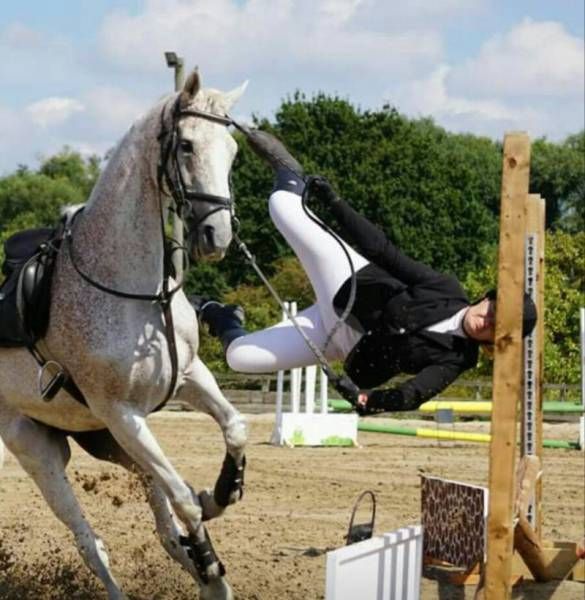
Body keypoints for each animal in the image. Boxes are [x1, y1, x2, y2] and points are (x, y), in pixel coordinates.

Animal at [0, 70, 249, 600]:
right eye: (187, 146)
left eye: (233, 149)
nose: (217, 237)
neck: (141, 292)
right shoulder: (123, 414)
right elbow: (184, 500)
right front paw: (210, 548)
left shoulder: (188, 378)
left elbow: (234, 428)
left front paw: (222, 492)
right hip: (37, 447)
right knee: (92, 545)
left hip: (101, 441)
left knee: (164, 531)